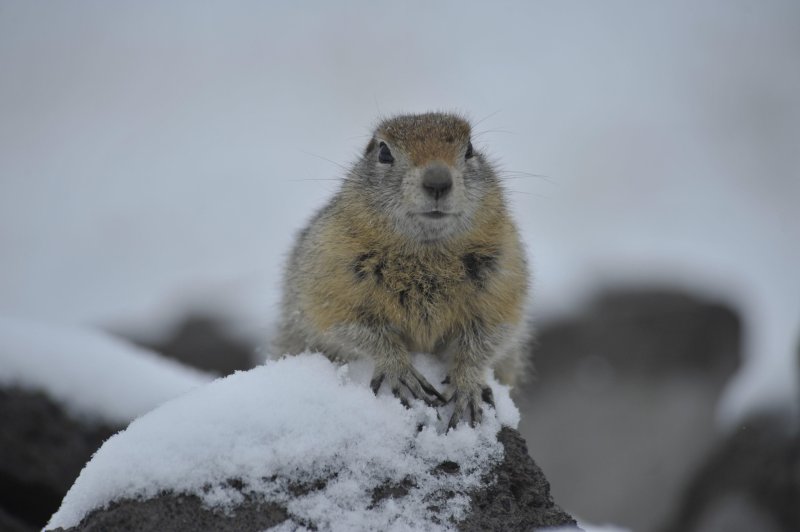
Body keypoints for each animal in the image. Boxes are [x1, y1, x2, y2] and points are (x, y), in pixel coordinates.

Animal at [276, 112, 532, 428]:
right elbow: (351, 329)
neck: (426, 254)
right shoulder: (332, 278)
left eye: (470, 149)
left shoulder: (503, 280)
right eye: (384, 152)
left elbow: (486, 339)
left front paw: (467, 386)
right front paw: (400, 369)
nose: (438, 181)